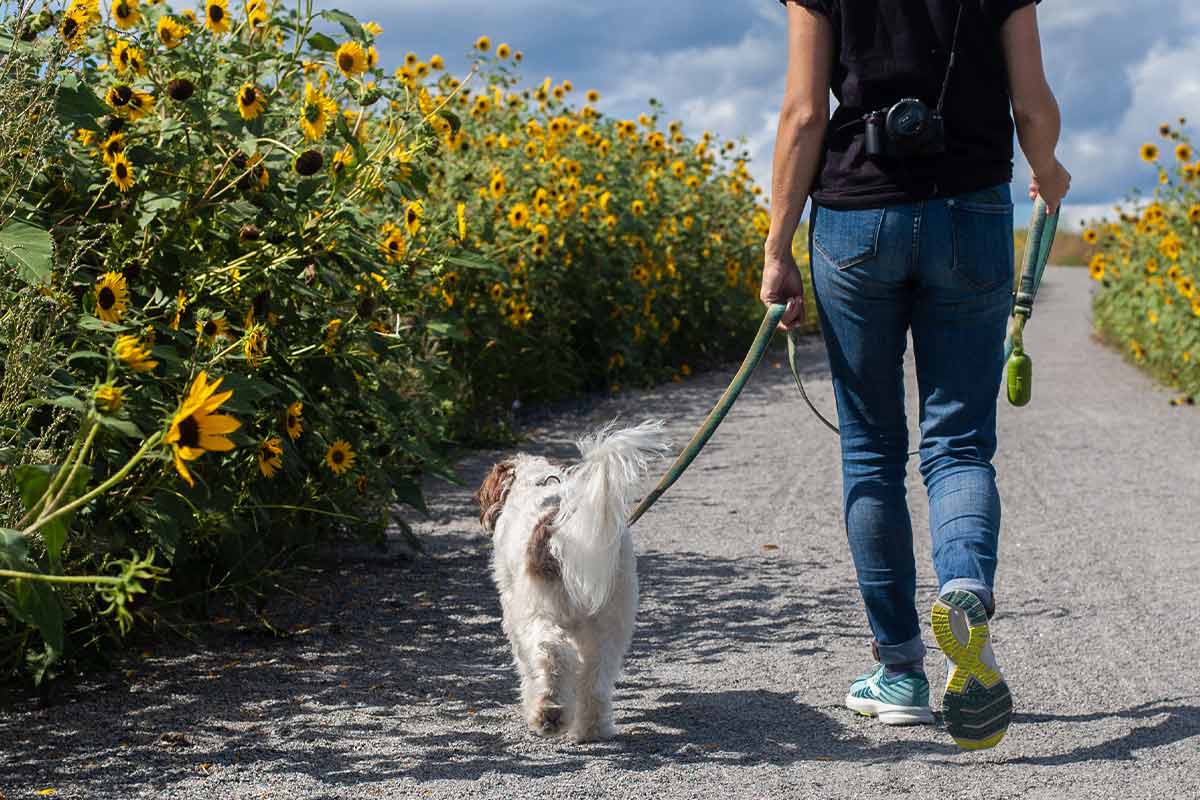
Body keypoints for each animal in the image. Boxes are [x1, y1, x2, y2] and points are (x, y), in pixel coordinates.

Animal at [472, 422, 672, 743]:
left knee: (552, 654)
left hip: (539, 614)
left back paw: (548, 713)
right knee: (596, 678)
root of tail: (560, 526)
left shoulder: (514, 613)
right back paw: (592, 729)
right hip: (611, 620)